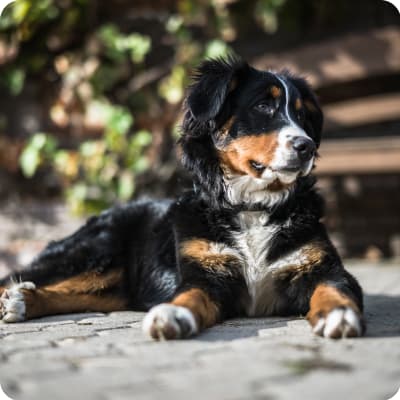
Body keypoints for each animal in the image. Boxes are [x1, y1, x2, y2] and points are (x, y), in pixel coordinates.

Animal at [0, 56, 366, 340]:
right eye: (264, 106)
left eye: (303, 115)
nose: (307, 147)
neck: (252, 207)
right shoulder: (205, 274)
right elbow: (188, 296)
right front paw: (172, 315)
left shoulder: (322, 267)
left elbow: (334, 289)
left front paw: (338, 314)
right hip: (95, 252)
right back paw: (14, 298)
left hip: (111, 286)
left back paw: (22, 301)